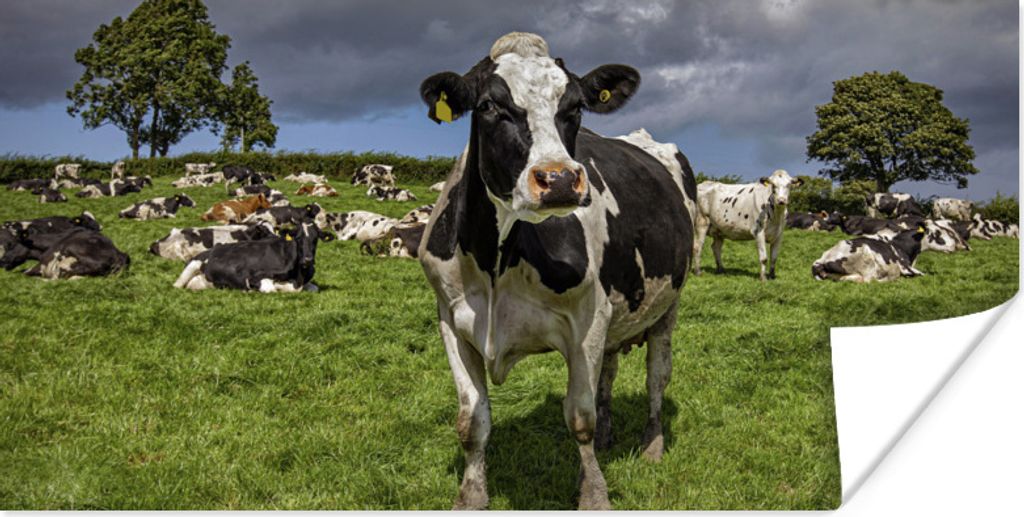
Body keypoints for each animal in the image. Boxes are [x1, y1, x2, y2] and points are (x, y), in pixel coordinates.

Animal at [173, 221, 332, 292]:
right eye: (297, 238)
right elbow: (271, 288)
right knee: (177, 286)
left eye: (316, 239)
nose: (308, 260)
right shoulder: (253, 277)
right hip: (192, 266)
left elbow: (314, 288)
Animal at [417, 32, 697, 510]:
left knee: (657, 376)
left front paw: (594, 496)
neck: (497, 260)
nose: (560, 179)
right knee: (608, 372)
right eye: (489, 106)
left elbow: (578, 418)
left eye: (575, 107)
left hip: (668, 305)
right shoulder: (453, 320)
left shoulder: (588, 317)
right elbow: (472, 420)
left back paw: (653, 444)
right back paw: (608, 436)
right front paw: (470, 497)